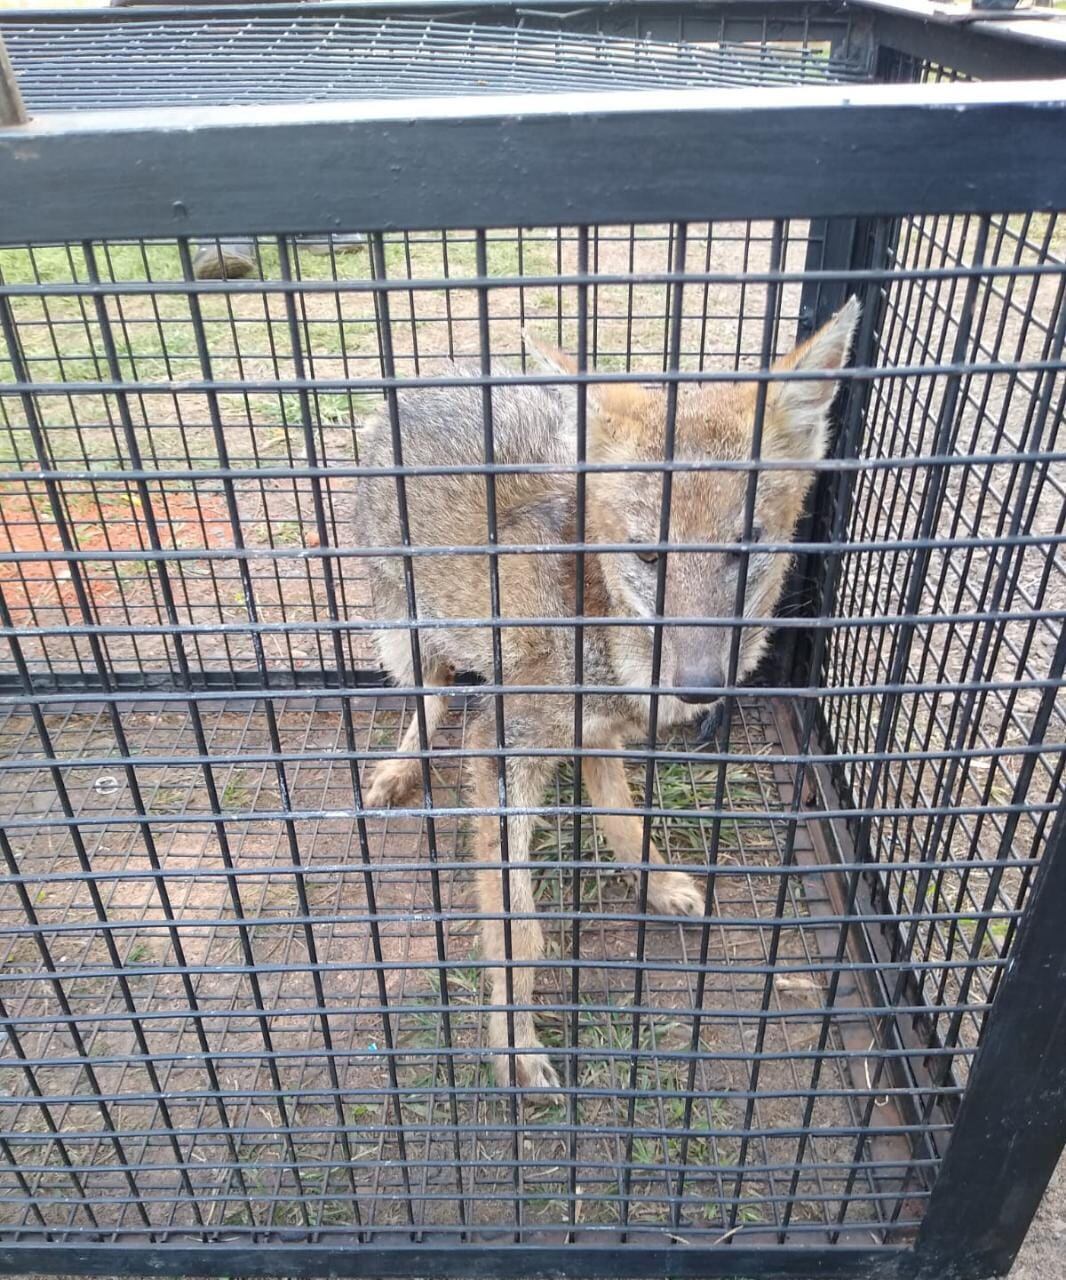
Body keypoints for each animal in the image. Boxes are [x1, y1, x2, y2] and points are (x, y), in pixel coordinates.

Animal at [353, 296, 859, 1090]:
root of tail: (436, 375)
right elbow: (518, 931)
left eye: (745, 549)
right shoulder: (502, 750)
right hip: (405, 630)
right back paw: (401, 768)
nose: (700, 689)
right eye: (648, 554)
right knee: (428, 696)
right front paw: (514, 1044)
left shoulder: (601, 734)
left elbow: (623, 816)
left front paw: (656, 882)